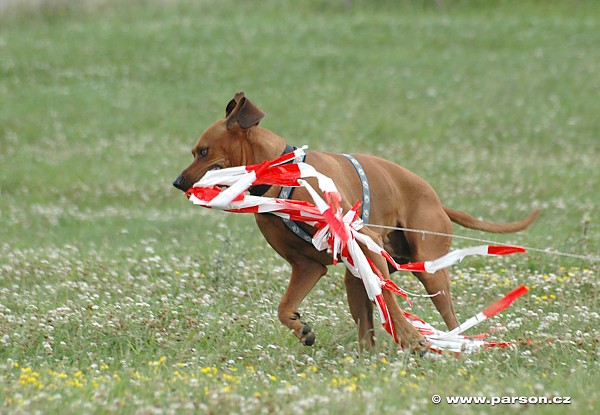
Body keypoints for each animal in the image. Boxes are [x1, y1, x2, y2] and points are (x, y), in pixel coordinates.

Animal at [173, 92, 540, 354]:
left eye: (203, 152)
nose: (177, 183)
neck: (282, 177)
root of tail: (437, 201)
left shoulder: (367, 247)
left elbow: (390, 303)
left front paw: (412, 339)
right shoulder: (307, 266)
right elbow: (283, 307)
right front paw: (301, 328)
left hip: (429, 270)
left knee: (448, 315)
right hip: (356, 278)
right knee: (367, 330)